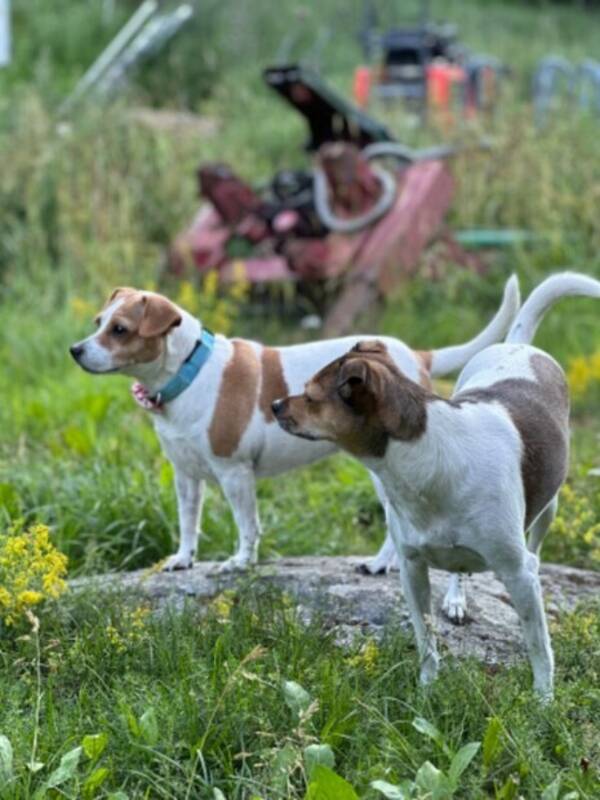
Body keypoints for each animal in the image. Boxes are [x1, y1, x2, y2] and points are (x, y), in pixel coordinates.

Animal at [70, 276, 516, 600]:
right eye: (98, 323)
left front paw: (241, 562)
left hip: (387, 477)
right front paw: (183, 559)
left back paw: (384, 564)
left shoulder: (234, 473)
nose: (75, 350)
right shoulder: (185, 476)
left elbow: (247, 525)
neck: (189, 371)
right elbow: (187, 523)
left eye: (121, 330)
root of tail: (417, 356)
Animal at [274, 272, 600, 696]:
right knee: (460, 568)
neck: (426, 461)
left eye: (311, 395)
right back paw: (457, 598)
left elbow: (539, 648)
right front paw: (427, 690)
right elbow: (425, 639)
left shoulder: (518, 572)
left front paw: (543, 701)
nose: (274, 405)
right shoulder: (412, 569)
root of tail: (519, 346)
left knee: (536, 543)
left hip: (549, 509)